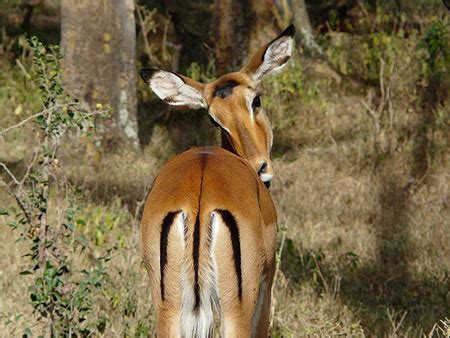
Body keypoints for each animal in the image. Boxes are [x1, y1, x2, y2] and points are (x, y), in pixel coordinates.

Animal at [140, 25, 296, 336]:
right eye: (215, 119)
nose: (262, 167)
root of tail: (198, 200)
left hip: (168, 307)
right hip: (237, 307)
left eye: (255, 101)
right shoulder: (266, 284)